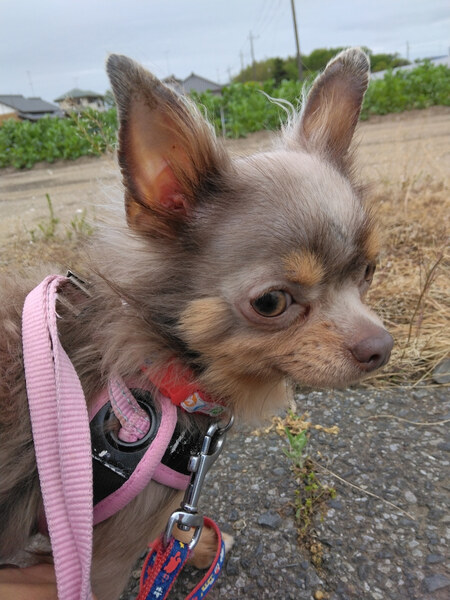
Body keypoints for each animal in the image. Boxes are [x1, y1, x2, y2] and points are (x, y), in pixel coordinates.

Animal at [0, 48, 393, 599]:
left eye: (369, 272)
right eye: (271, 302)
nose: (382, 347)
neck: (159, 370)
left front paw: (194, 546)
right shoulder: (101, 562)